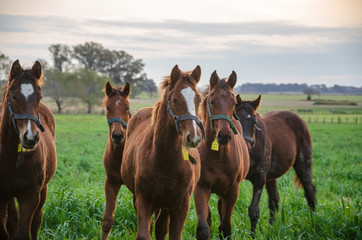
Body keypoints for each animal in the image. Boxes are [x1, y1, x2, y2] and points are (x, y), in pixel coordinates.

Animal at [0, 59, 57, 239]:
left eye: (39, 97)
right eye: (13, 96)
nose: (30, 137)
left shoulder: (31, 195)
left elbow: (24, 231)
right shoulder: (1, 196)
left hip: (42, 191)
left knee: (36, 221)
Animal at [121, 64, 205, 239]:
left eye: (199, 99)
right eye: (174, 99)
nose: (193, 137)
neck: (164, 160)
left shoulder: (181, 206)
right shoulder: (144, 201)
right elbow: (144, 234)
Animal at [194, 70, 250, 239]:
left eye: (233, 103)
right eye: (212, 101)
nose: (224, 135)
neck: (218, 157)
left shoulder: (232, 191)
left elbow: (225, 227)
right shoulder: (201, 188)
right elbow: (203, 227)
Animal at [236, 94, 316, 233]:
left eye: (254, 123)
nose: (245, 148)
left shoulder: (259, 179)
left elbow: (254, 210)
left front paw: (252, 235)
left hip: (303, 165)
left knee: (310, 192)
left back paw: (314, 222)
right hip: (271, 177)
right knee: (274, 201)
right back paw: (272, 229)